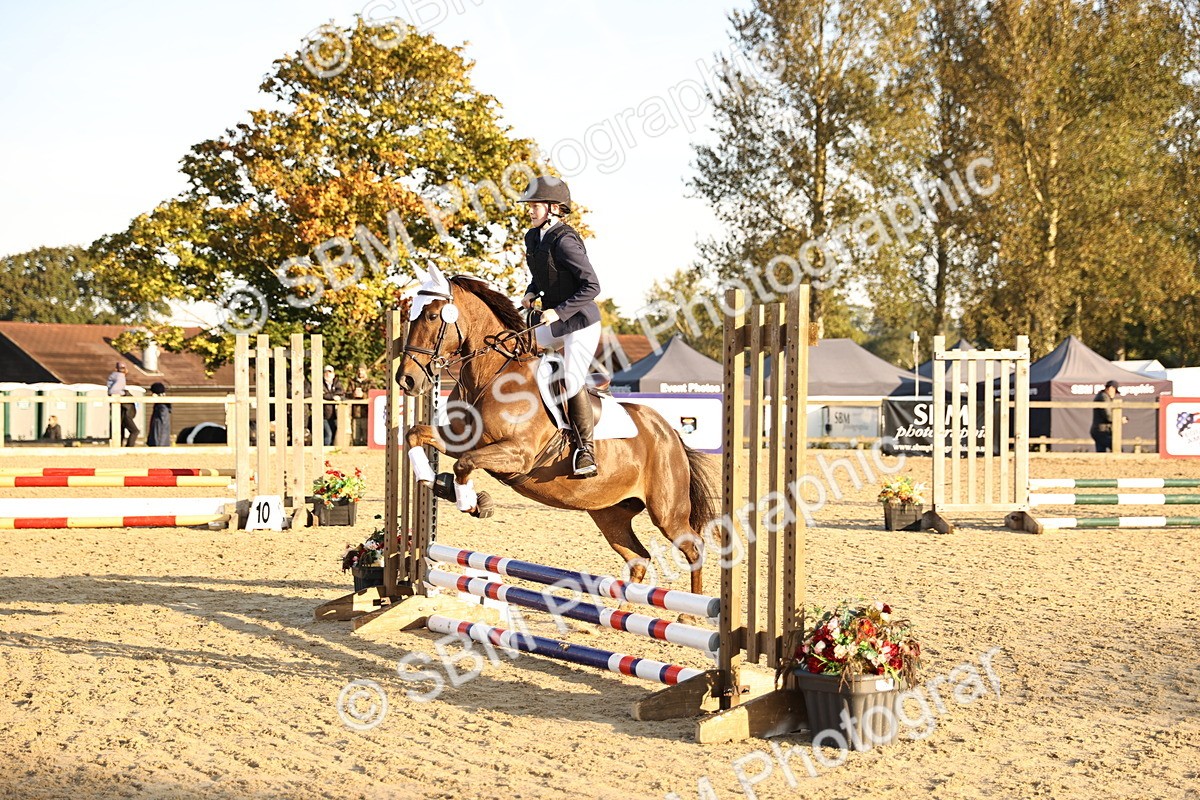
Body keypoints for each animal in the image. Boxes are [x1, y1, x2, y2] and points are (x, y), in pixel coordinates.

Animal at [396, 269, 720, 608]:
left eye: (432, 316)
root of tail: (669, 432)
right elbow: (416, 435)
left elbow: (465, 464)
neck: (492, 375)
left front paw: (473, 502)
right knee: (638, 557)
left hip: (667, 511)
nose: (406, 380)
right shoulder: (461, 438)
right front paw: (438, 483)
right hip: (610, 513)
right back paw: (622, 611)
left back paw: (690, 613)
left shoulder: (517, 454)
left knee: (693, 546)